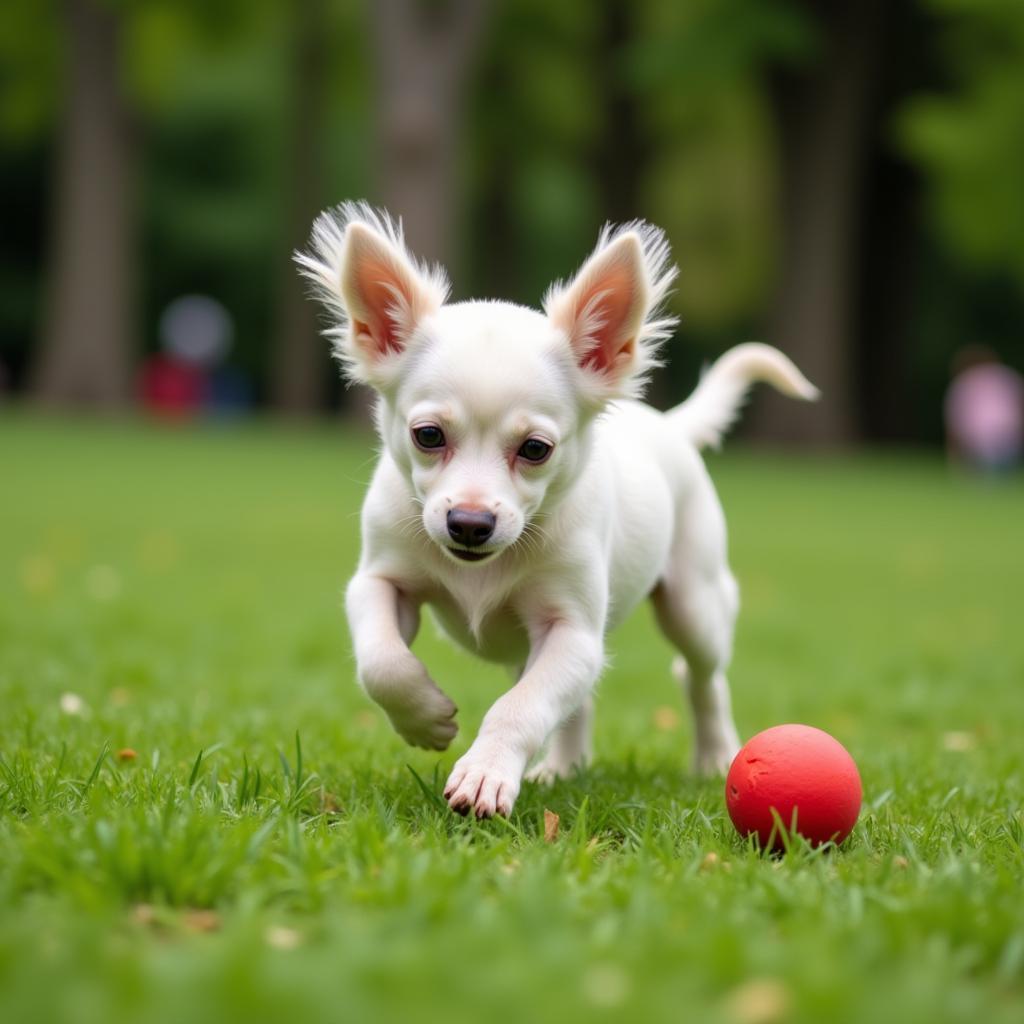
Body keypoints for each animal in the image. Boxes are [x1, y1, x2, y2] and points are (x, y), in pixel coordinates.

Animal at [296, 203, 815, 819]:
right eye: (428, 436)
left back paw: (715, 757)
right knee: (576, 704)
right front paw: (425, 718)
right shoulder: (379, 582)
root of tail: (669, 425)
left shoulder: (574, 633)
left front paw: (485, 773)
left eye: (536, 449)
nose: (469, 524)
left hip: (695, 604)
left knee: (699, 676)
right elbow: (382, 662)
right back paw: (562, 769)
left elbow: (520, 707)